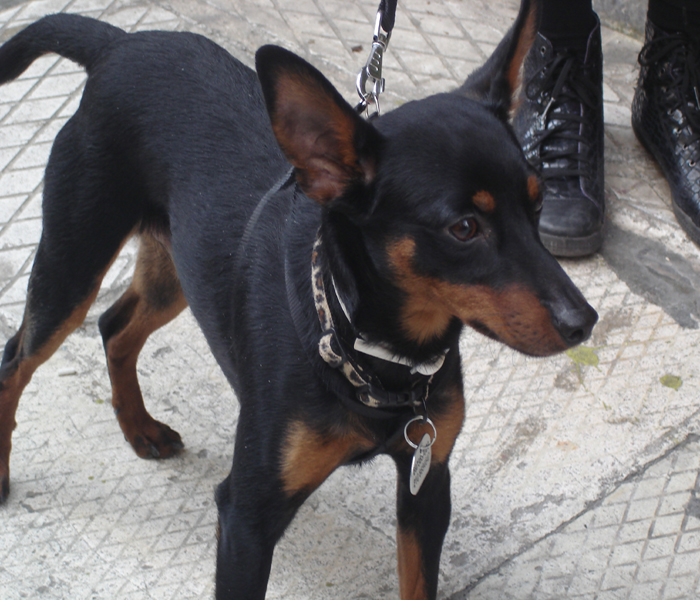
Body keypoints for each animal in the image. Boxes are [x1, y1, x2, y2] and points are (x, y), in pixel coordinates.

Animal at [0, 1, 597, 598]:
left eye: (538, 204)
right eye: (465, 228)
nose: (583, 321)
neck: (370, 349)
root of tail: (118, 45)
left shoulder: (426, 486)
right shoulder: (246, 517)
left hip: (176, 268)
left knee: (114, 326)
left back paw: (138, 427)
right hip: (74, 263)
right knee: (18, 357)